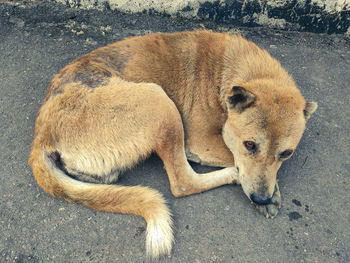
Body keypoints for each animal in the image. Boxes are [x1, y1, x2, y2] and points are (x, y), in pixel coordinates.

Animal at [28, 30, 318, 260]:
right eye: (249, 145)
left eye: (286, 153)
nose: (261, 198)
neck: (232, 72)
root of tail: (42, 134)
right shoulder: (203, 142)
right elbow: (237, 161)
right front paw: (265, 190)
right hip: (159, 100)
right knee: (183, 183)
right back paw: (232, 176)